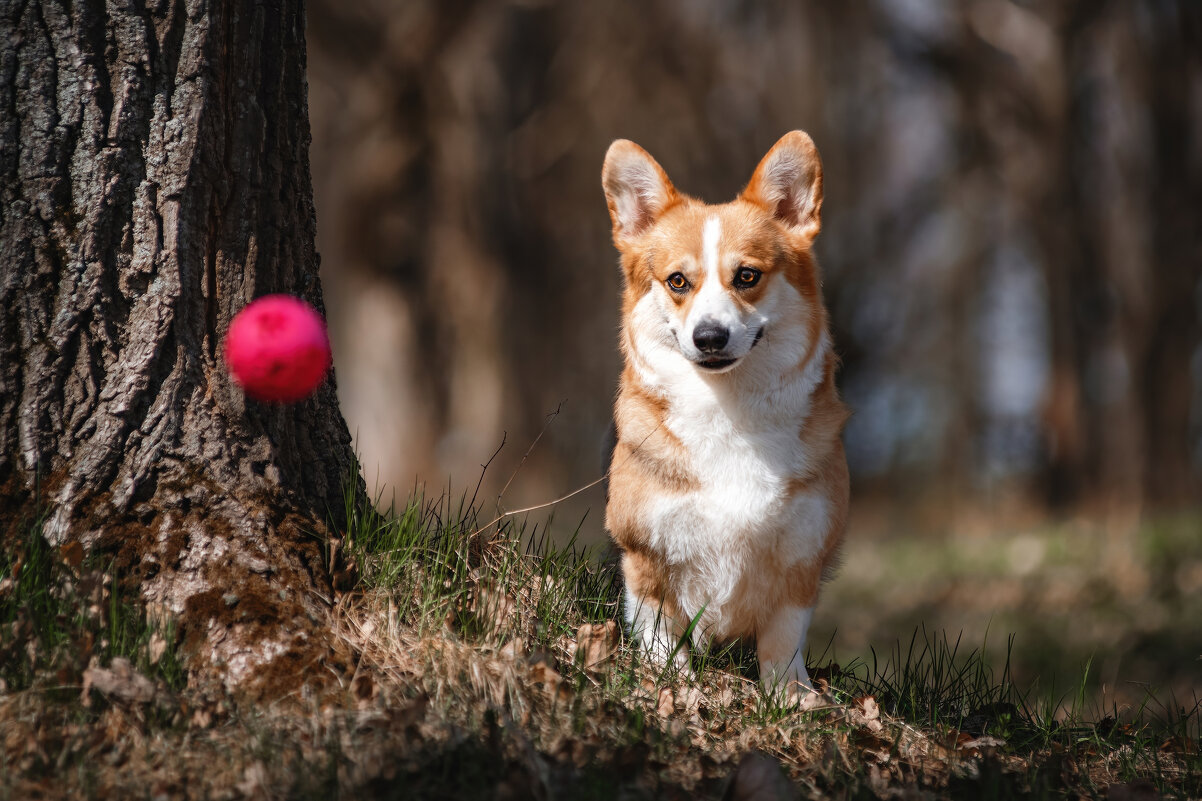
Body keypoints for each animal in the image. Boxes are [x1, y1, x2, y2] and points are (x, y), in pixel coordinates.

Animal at [598, 131, 846, 697]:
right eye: (677, 282)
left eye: (747, 276)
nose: (709, 336)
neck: (727, 409)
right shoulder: (646, 552)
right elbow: (659, 630)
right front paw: (673, 683)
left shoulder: (802, 555)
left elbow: (783, 640)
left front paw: (791, 698)